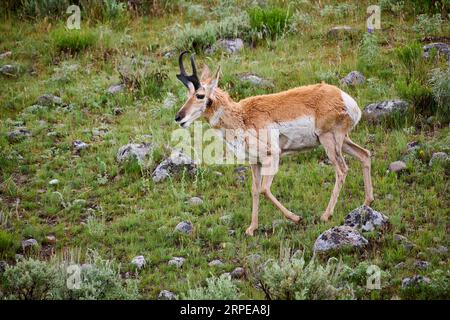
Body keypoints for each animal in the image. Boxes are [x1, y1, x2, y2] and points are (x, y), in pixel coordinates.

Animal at [174, 52, 374, 236]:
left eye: (200, 95)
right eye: (188, 94)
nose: (178, 117)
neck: (241, 116)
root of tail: (344, 97)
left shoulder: (273, 155)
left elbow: (264, 189)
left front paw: (296, 217)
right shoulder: (254, 162)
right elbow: (255, 190)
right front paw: (251, 228)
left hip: (329, 141)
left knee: (342, 169)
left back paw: (326, 215)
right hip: (343, 140)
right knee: (365, 154)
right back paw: (366, 204)